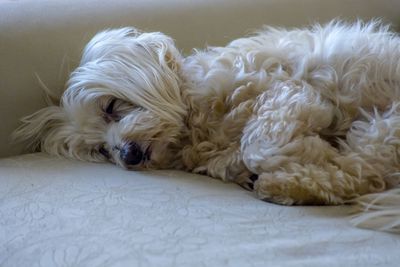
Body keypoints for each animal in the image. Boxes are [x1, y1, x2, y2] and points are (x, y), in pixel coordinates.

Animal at [13, 20, 400, 234]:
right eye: (101, 150)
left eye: (110, 107)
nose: (128, 155)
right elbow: (245, 155)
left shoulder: (287, 91)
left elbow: (261, 145)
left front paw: (313, 149)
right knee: (363, 174)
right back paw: (282, 185)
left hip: (386, 123)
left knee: (363, 170)